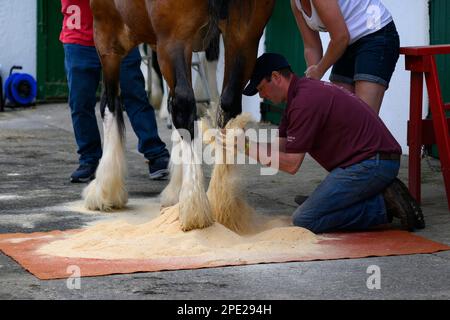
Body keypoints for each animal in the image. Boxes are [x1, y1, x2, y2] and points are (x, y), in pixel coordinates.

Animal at [83, 0, 276, 225]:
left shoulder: (107, 36)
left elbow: (109, 105)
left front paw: (104, 190)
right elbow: (172, 106)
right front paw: (175, 191)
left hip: (174, 38)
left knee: (184, 105)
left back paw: (194, 205)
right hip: (244, 37)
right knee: (228, 105)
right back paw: (221, 197)